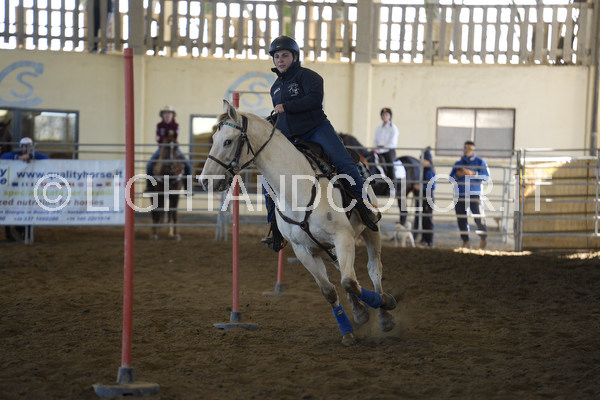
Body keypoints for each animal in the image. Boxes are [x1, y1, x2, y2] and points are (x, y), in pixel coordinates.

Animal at [200, 100, 397, 346]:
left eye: (228, 141)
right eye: (214, 138)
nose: (204, 181)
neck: (297, 189)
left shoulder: (342, 237)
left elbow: (349, 282)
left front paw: (383, 304)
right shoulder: (303, 249)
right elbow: (330, 290)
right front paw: (348, 330)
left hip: (371, 231)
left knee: (373, 269)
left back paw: (384, 315)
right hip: (326, 247)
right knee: (345, 270)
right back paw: (360, 312)